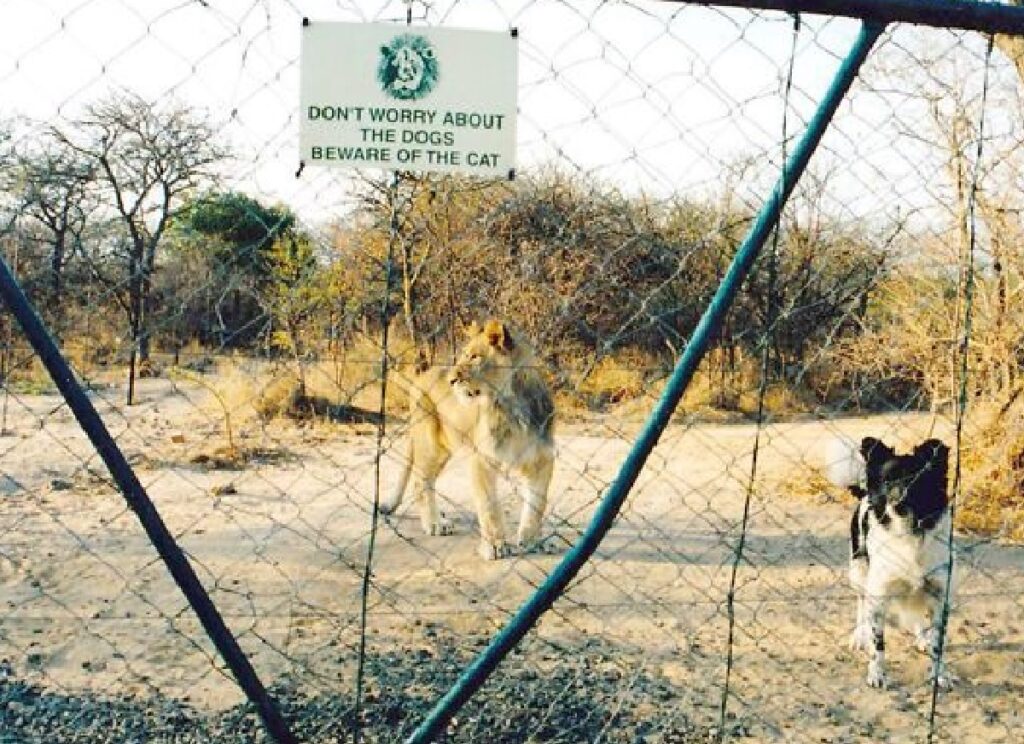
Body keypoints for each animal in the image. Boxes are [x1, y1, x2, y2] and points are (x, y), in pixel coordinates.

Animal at [827, 440, 954, 687]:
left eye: (916, 479)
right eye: (887, 481)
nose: (898, 504)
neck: (909, 534)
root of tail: (864, 493)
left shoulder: (939, 594)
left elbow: (938, 643)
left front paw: (939, 674)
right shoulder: (879, 593)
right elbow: (879, 643)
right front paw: (877, 673)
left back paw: (921, 637)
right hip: (859, 571)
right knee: (861, 603)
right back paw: (860, 635)